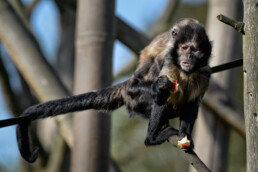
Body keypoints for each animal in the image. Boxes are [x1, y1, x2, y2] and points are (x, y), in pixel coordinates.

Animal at [0, 18, 211, 163]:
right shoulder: (169, 58)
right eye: (184, 48)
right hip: (137, 99)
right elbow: (160, 91)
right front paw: (159, 90)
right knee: (146, 88)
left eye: (194, 51)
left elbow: (192, 103)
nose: (187, 58)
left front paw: (186, 136)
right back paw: (152, 136)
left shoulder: (204, 72)